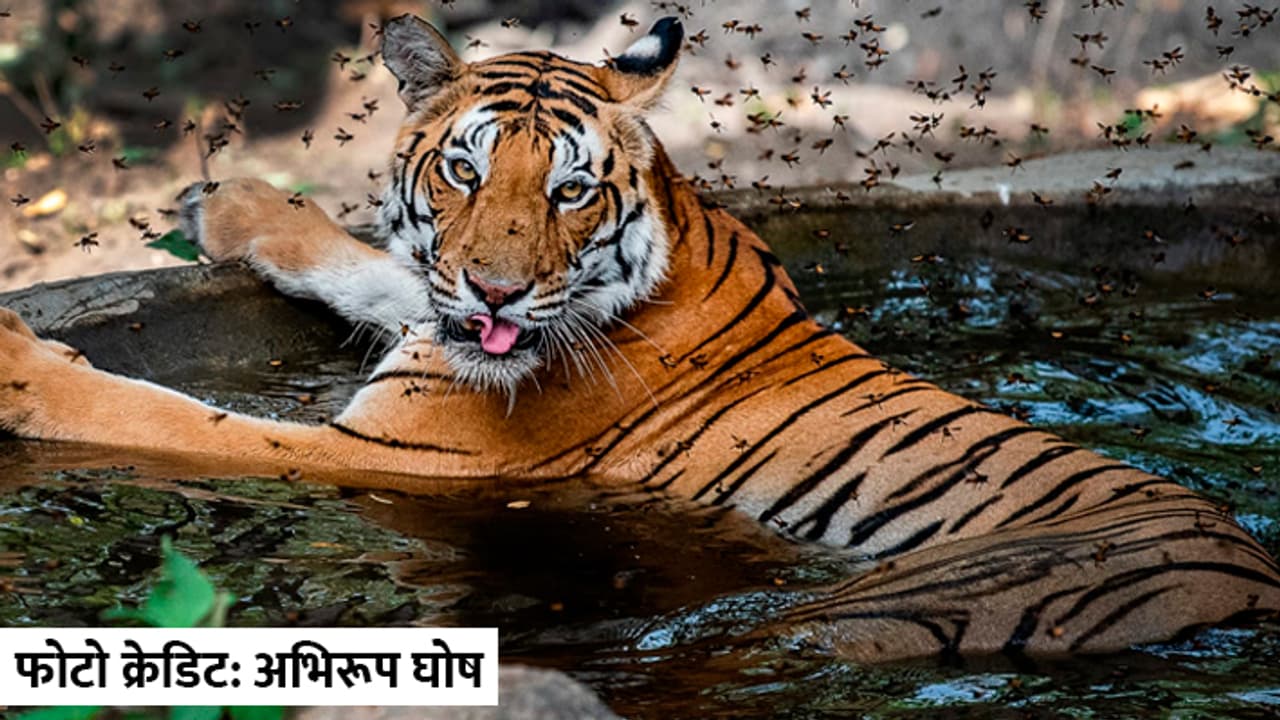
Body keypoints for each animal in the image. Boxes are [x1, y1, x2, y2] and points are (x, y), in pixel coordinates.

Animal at [1, 14, 1277, 662]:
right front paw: (231, 202)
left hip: (896, 607)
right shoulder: (437, 319)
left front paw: (19, 365)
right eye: (463, 171)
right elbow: (369, 262)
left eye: (567, 191)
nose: (498, 290)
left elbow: (163, 415)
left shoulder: (408, 452)